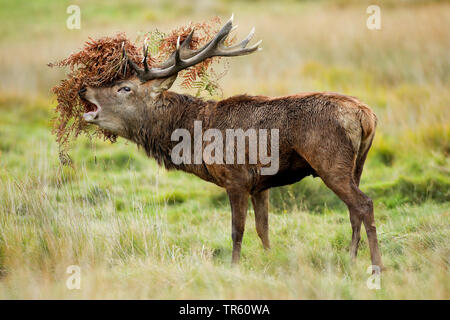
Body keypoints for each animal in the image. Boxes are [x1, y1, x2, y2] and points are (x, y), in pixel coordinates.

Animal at [77, 15, 384, 270]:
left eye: (124, 87)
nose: (83, 88)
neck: (195, 138)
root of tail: (366, 115)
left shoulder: (236, 178)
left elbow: (238, 230)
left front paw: (234, 267)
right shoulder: (261, 184)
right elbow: (263, 228)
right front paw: (271, 259)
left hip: (330, 161)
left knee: (364, 204)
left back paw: (376, 264)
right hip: (357, 164)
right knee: (353, 210)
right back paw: (351, 258)